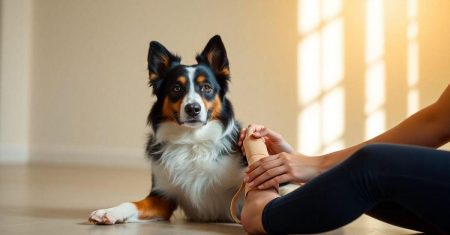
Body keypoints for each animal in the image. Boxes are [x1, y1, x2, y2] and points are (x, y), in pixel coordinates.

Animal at [88, 35, 246, 224]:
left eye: (207, 87)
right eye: (176, 88)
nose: (193, 109)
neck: (191, 140)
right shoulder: (162, 197)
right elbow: (131, 203)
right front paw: (110, 212)